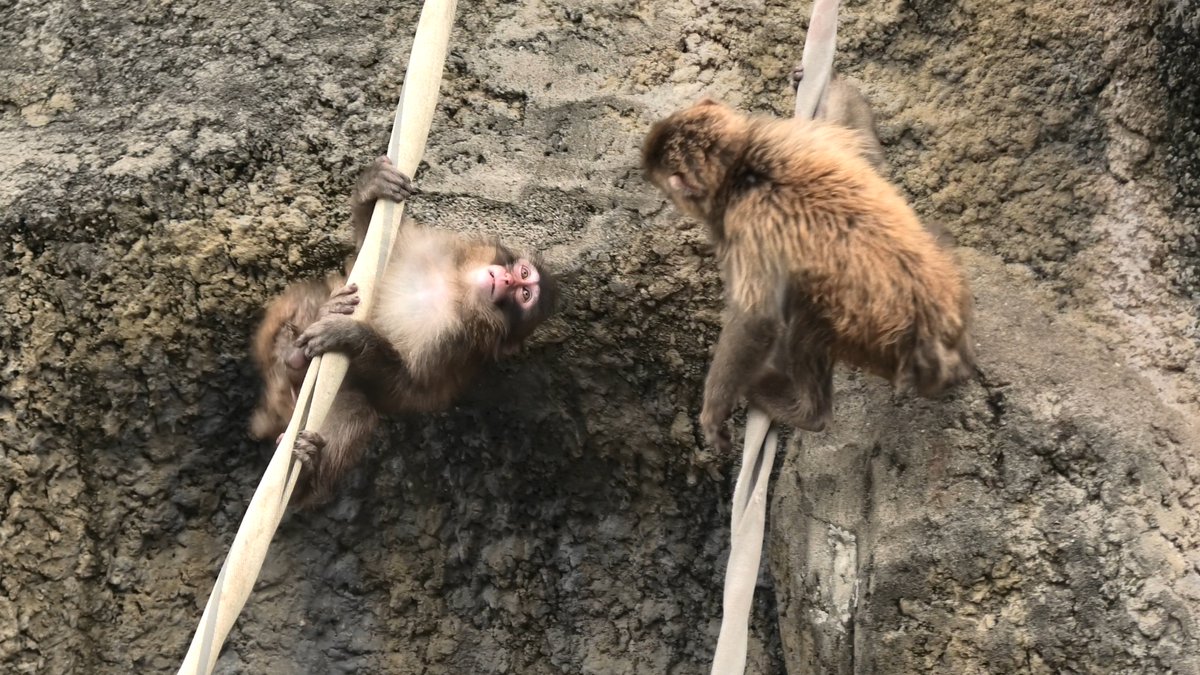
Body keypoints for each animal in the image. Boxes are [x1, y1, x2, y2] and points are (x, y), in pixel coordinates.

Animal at [249, 156, 558, 506]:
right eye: (522, 275)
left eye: (524, 295)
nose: (506, 281)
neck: (457, 292)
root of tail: (272, 409)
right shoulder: (432, 248)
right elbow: (376, 245)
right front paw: (373, 186)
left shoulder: (455, 344)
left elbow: (406, 386)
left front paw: (352, 338)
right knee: (314, 298)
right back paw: (305, 340)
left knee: (356, 410)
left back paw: (304, 476)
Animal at [641, 99, 975, 453]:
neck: (744, 169)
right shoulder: (793, 137)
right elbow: (864, 144)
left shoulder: (746, 221)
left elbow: (755, 322)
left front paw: (714, 412)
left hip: (872, 345)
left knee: (806, 324)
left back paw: (806, 412)